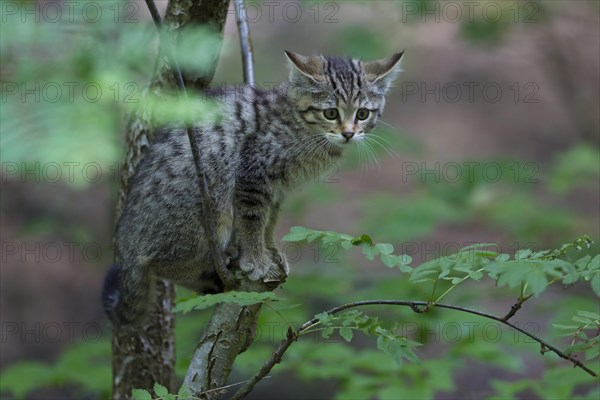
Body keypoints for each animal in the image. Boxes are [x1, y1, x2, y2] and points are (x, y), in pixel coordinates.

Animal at [102, 50, 404, 324]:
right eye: (330, 113)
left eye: (362, 114)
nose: (348, 133)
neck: (300, 126)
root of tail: (125, 241)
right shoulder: (253, 172)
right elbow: (252, 218)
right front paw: (256, 260)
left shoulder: (277, 189)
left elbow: (269, 220)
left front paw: (271, 252)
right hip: (210, 207)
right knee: (156, 262)